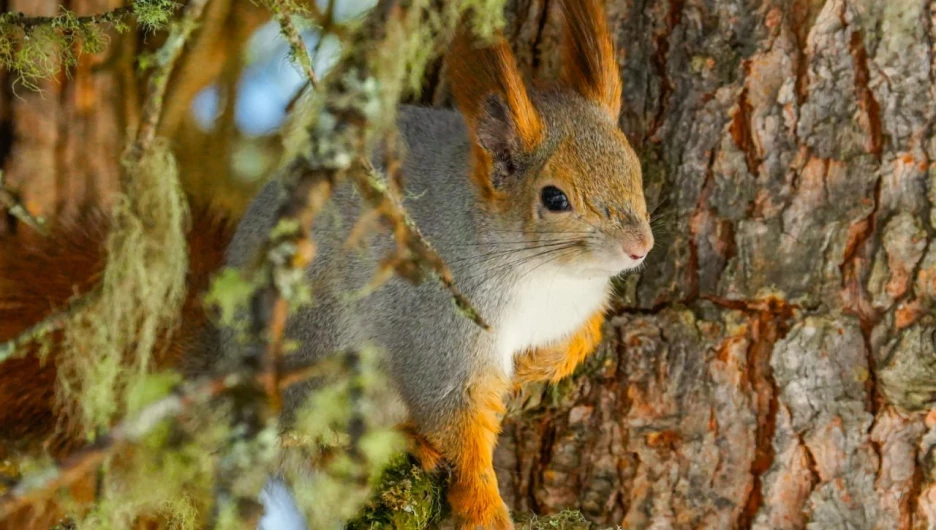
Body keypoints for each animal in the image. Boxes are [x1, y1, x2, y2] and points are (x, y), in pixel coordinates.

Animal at [0, 0, 652, 529]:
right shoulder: (440, 324)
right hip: (323, 357)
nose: (640, 248)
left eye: (635, 166)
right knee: (316, 440)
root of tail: (226, 359)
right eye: (555, 199)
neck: (551, 282)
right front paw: (484, 503)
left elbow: (580, 336)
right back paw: (403, 442)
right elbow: (456, 415)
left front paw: (551, 360)